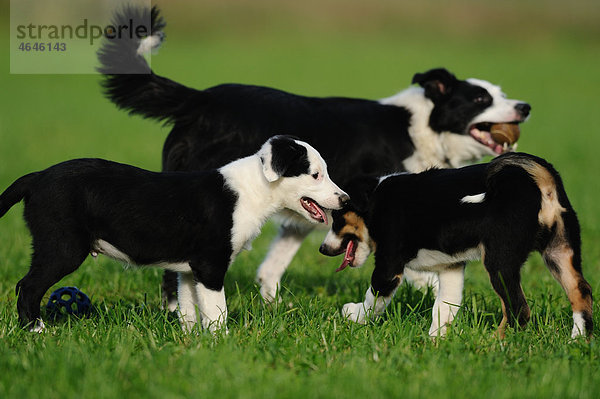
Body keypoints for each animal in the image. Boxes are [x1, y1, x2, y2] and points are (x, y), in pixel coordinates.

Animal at [0, 136, 350, 332]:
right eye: (315, 175)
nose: (345, 199)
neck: (254, 190)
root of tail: (37, 177)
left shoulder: (189, 271)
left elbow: (189, 309)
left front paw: (191, 342)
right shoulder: (211, 265)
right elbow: (217, 311)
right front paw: (222, 343)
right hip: (63, 246)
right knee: (28, 286)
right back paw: (36, 330)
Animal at [96, 6, 532, 304]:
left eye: (501, 92)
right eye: (480, 99)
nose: (525, 106)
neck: (420, 127)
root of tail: (198, 99)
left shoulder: (308, 212)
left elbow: (270, 270)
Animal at [322, 152, 592, 338]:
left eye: (337, 217)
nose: (323, 249)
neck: (376, 200)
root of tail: (538, 178)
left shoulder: (388, 266)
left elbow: (373, 299)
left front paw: (354, 314)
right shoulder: (450, 267)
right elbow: (444, 307)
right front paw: (435, 341)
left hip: (499, 261)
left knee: (518, 309)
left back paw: (494, 343)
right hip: (559, 251)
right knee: (581, 292)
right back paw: (578, 340)